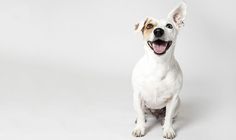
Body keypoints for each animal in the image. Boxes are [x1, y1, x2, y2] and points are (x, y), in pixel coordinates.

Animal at [132, 1, 187, 139]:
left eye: (169, 26)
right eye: (149, 26)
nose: (158, 31)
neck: (158, 64)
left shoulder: (173, 99)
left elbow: (169, 116)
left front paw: (168, 129)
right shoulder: (138, 96)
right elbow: (140, 114)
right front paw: (140, 128)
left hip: (178, 102)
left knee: (168, 116)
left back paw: (164, 120)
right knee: (143, 113)